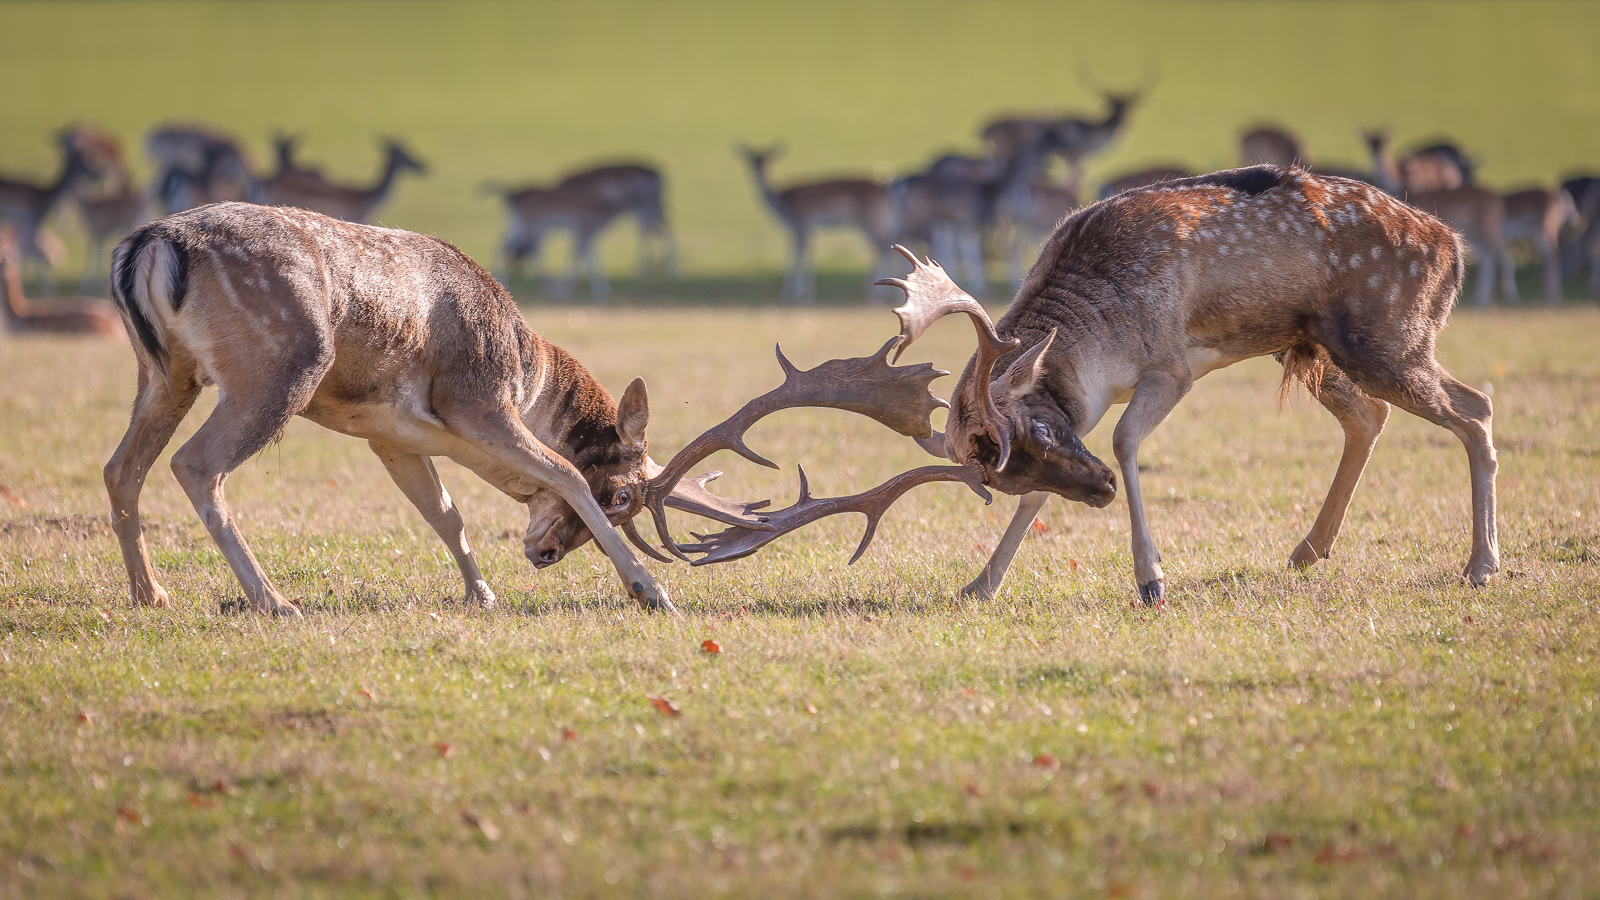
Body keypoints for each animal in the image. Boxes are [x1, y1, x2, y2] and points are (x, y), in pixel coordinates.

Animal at [684, 167, 1501, 606]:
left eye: (1043, 430)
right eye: (1004, 470)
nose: (1101, 490)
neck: (1104, 332)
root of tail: (1453, 247)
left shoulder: (1173, 365)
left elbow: (1129, 437)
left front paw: (1151, 579)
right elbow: (1045, 502)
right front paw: (980, 584)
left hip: (1388, 338)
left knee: (1475, 407)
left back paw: (1481, 566)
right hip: (1313, 349)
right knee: (1370, 419)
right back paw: (1307, 550)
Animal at [738, 145, 897, 302]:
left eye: (768, 162)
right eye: (750, 161)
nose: (755, 174)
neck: (782, 204)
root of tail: (884, 189)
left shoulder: (801, 225)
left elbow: (799, 255)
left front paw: (797, 293)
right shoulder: (798, 230)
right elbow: (799, 253)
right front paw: (798, 292)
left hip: (869, 221)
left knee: (883, 248)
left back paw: (880, 294)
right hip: (876, 222)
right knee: (882, 248)